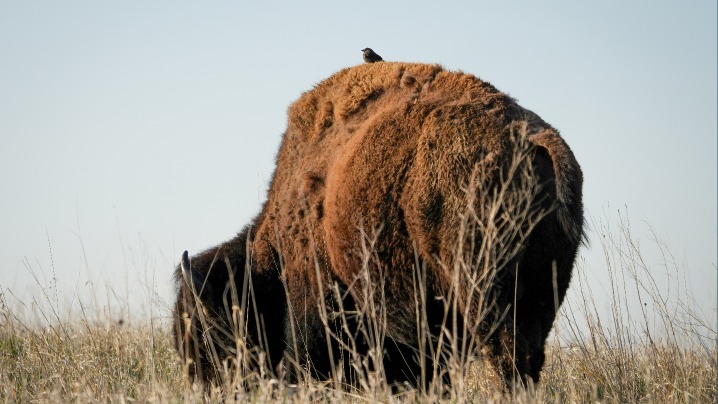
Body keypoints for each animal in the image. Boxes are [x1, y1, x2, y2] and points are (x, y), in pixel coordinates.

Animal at [174, 62, 584, 392]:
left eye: (209, 335)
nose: (204, 387)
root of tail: (536, 140)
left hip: (482, 293)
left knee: (507, 358)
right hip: (540, 297)